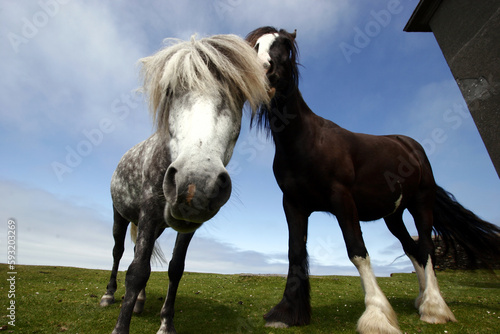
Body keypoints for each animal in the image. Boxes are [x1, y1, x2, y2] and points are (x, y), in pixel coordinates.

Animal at [247, 26, 500, 334]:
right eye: (255, 46)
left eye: (283, 45)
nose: (261, 73)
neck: (306, 141)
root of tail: (410, 145)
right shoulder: (293, 205)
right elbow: (295, 253)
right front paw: (286, 313)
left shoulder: (342, 199)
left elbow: (357, 251)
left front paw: (377, 316)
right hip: (393, 215)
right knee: (413, 249)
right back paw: (422, 299)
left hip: (421, 203)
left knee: (427, 248)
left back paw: (434, 307)